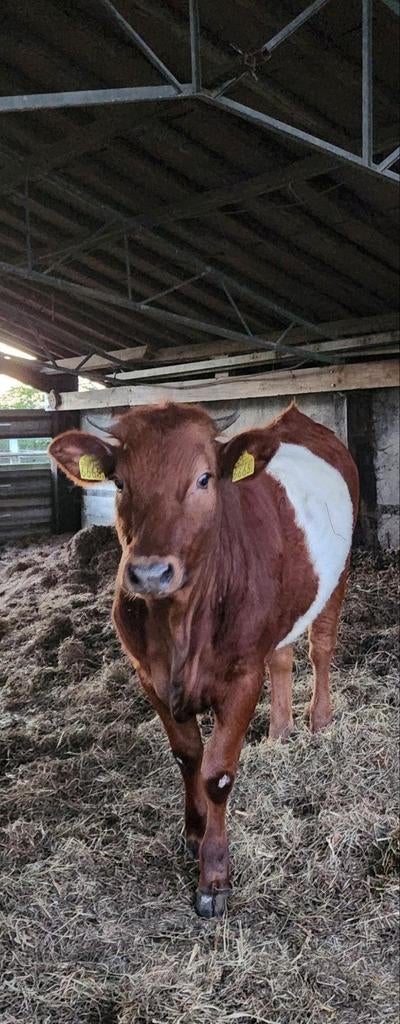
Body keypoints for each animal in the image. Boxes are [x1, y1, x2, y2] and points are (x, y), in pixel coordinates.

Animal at [49, 401, 359, 918]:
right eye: (119, 482)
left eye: (204, 478)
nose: (150, 572)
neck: (180, 629)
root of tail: (297, 418)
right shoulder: (148, 676)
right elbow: (187, 755)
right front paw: (193, 832)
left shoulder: (241, 676)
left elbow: (217, 773)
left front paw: (214, 876)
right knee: (282, 657)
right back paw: (280, 732)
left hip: (339, 574)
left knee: (321, 646)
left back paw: (319, 720)